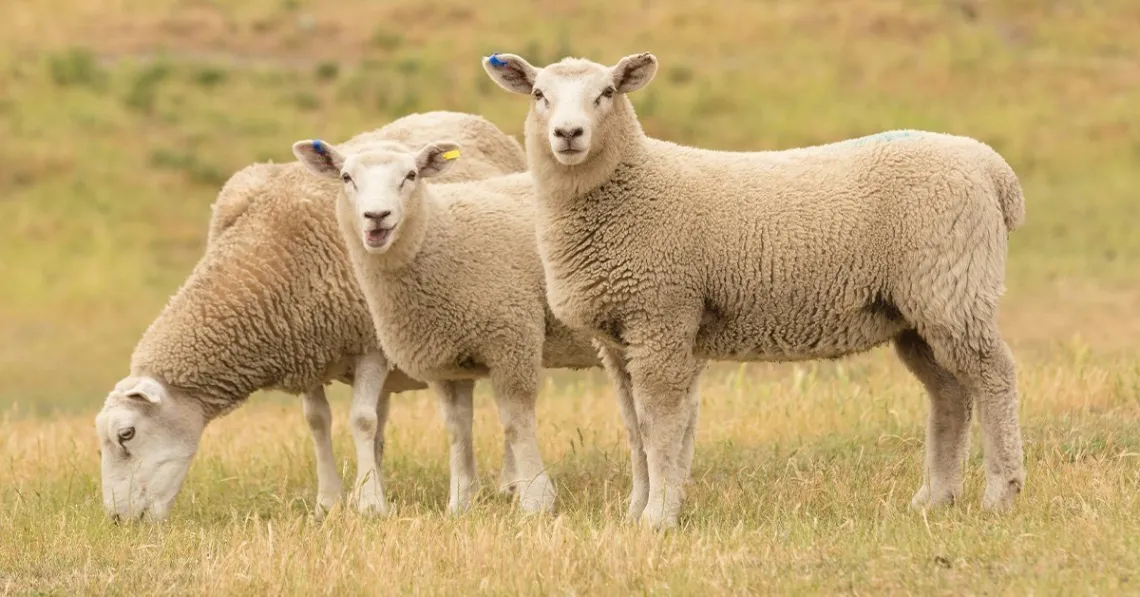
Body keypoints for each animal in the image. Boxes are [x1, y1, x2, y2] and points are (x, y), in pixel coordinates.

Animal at [93, 111, 528, 521]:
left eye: (126, 434)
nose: (117, 519)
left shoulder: (370, 345)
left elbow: (362, 420)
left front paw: (370, 505)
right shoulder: (305, 346)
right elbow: (318, 421)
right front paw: (331, 502)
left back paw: (510, 483)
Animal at [289, 138, 601, 512]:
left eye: (411, 175)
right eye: (346, 177)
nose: (377, 216)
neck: (444, 232)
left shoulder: (513, 338)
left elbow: (516, 424)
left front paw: (536, 500)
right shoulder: (446, 359)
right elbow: (456, 427)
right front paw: (460, 503)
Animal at [485, 50, 1030, 526]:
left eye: (607, 93)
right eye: (539, 94)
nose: (568, 134)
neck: (631, 188)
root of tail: (992, 169)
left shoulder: (662, 315)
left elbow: (659, 425)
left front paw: (658, 517)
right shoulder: (618, 337)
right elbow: (634, 429)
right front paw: (634, 512)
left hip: (953, 287)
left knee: (995, 378)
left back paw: (1001, 493)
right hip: (916, 310)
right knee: (950, 394)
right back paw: (935, 498)